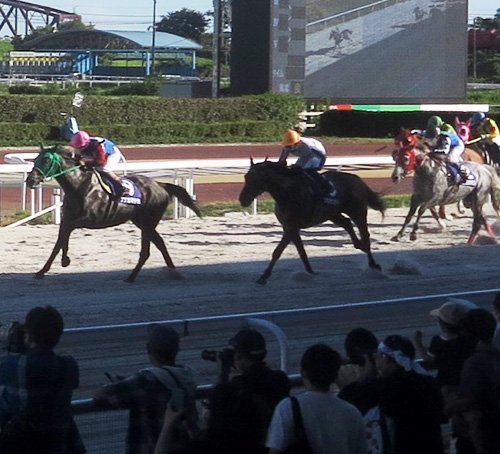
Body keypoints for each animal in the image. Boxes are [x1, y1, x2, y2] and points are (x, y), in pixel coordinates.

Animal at [25, 145, 201, 280]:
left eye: (46, 160)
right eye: (35, 160)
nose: (30, 181)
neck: (79, 185)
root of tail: (161, 185)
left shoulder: (89, 219)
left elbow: (65, 237)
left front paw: (65, 260)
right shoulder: (67, 219)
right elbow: (59, 242)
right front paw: (42, 271)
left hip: (148, 222)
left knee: (147, 250)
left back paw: (132, 277)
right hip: (142, 222)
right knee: (159, 243)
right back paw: (171, 272)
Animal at [238, 159, 386, 284]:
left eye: (257, 179)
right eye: (246, 177)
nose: (243, 199)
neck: (287, 192)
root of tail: (357, 179)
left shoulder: (291, 227)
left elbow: (278, 251)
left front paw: (264, 276)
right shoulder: (289, 227)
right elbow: (301, 251)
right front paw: (311, 271)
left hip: (357, 211)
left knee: (365, 234)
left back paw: (373, 264)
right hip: (333, 213)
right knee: (347, 223)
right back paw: (358, 245)